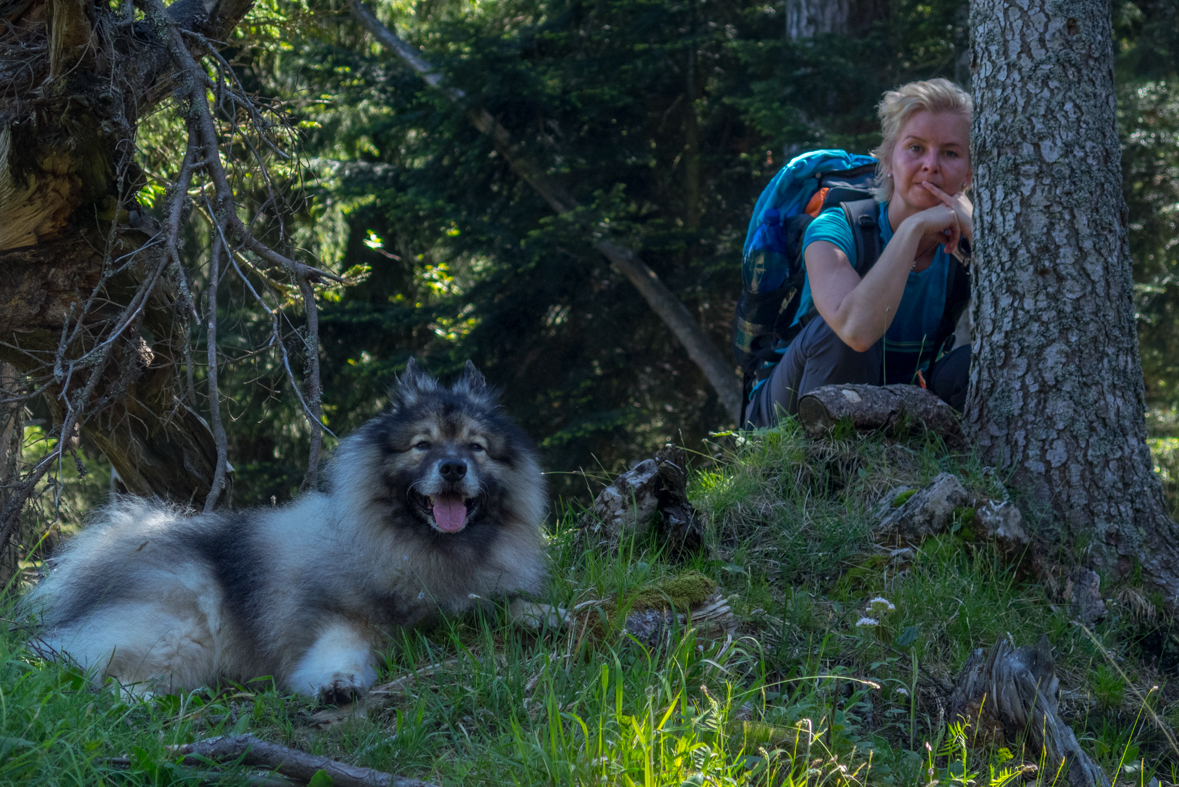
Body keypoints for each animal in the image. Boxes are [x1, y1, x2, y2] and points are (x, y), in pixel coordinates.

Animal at [22, 360, 547, 702]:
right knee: (108, 678)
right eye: (423, 445)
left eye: (476, 447)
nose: (454, 467)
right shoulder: (338, 616)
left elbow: (513, 604)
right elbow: (341, 645)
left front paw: (547, 616)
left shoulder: (479, 599)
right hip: (182, 632)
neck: (426, 549)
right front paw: (337, 682)